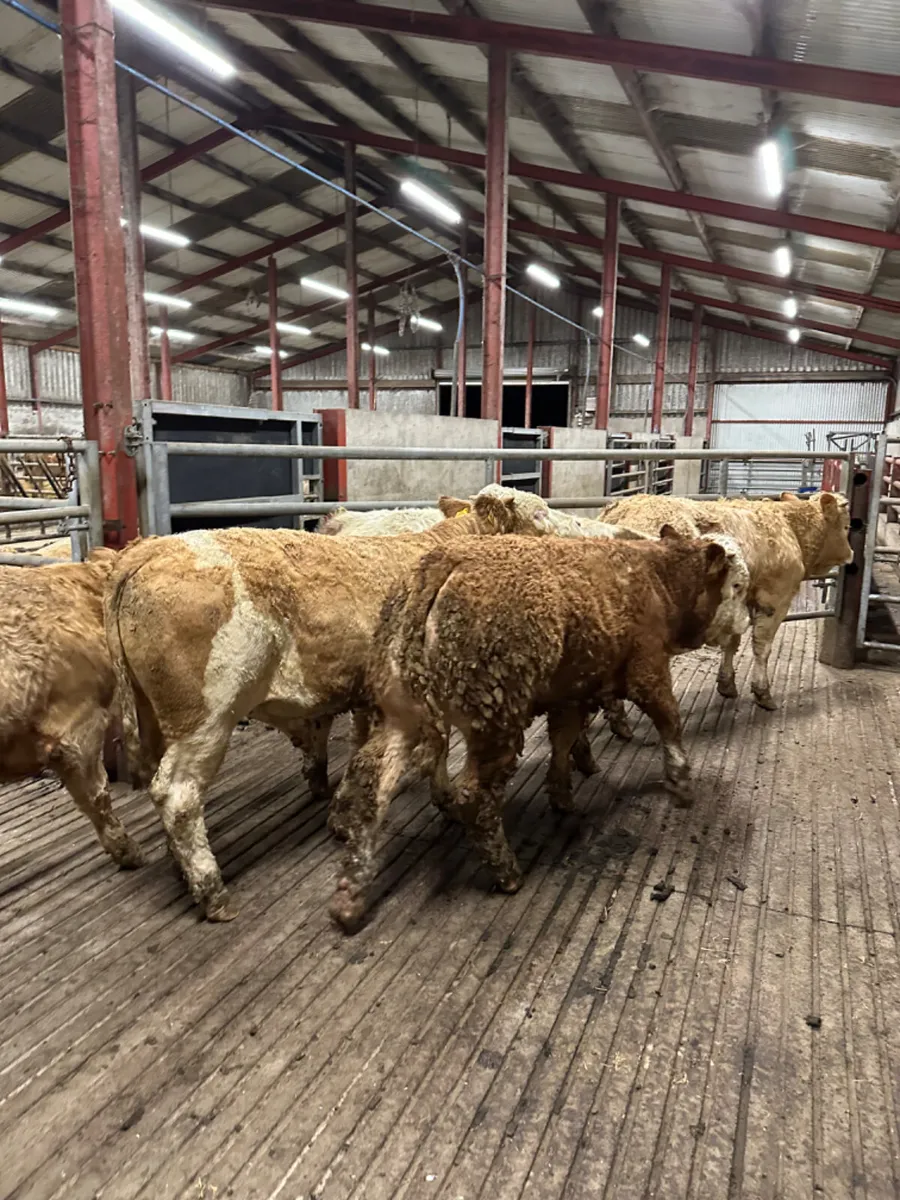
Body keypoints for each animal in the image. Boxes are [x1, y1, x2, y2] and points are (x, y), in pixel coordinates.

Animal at [106, 493, 552, 920]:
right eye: (539, 515)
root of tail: (149, 548)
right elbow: (428, 751)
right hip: (207, 718)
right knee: (177, 796)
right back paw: (213, 893)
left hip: (156, 716)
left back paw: (180, 871)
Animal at [328, 529, 751, 931]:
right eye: (738, 586)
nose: (745, 623)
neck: (657, 578)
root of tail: (441, 561)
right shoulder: (647, 668)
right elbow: (669, 721)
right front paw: (681, 784)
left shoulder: (572, 692)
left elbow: (563, 739)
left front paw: (563, 794)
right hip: (495, 715)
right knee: (474, 795)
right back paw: (507, 873)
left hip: (402, 710)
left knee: (368, 778)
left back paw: (350, 896)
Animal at [601, 491, 852, 713]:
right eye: (847, 526)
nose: (850, 554)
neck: (789, 528)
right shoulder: (775, 599)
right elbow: (762, 647)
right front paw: (762, 692)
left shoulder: (737, 602)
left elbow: (732, 641)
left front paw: (726, 683)